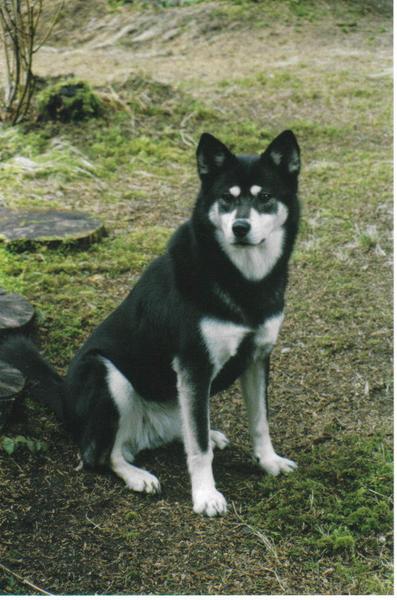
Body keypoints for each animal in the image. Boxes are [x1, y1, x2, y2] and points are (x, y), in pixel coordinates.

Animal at [1, 130, 300, 516]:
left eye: (264, 197)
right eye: (226, 198)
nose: (240, 227)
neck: (242, 278)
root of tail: (64, 398)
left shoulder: (257, 357)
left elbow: (260, 421)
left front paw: (269, 462)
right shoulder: (195, 365)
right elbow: (198, 449)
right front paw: (205, 495)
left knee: (183, 429)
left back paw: (208, 434)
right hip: (108, 374)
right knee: (102, 455)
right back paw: (136, 475)